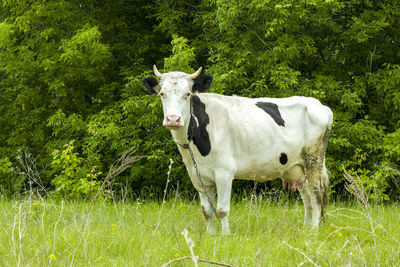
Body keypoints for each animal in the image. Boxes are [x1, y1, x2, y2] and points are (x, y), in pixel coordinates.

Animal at [142, 66, 332, 236]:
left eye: (187, 94)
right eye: (162, 93)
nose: (173, 119)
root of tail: (319, 105)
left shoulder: (224, 173)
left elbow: (222, 209)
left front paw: (226, 235)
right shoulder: (198, 177)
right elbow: (207, 211)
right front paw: (211, 235)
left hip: (313, 160)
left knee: (316, 195)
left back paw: (314, 231)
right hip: (297, 167)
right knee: (307, 197)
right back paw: (306, 229)